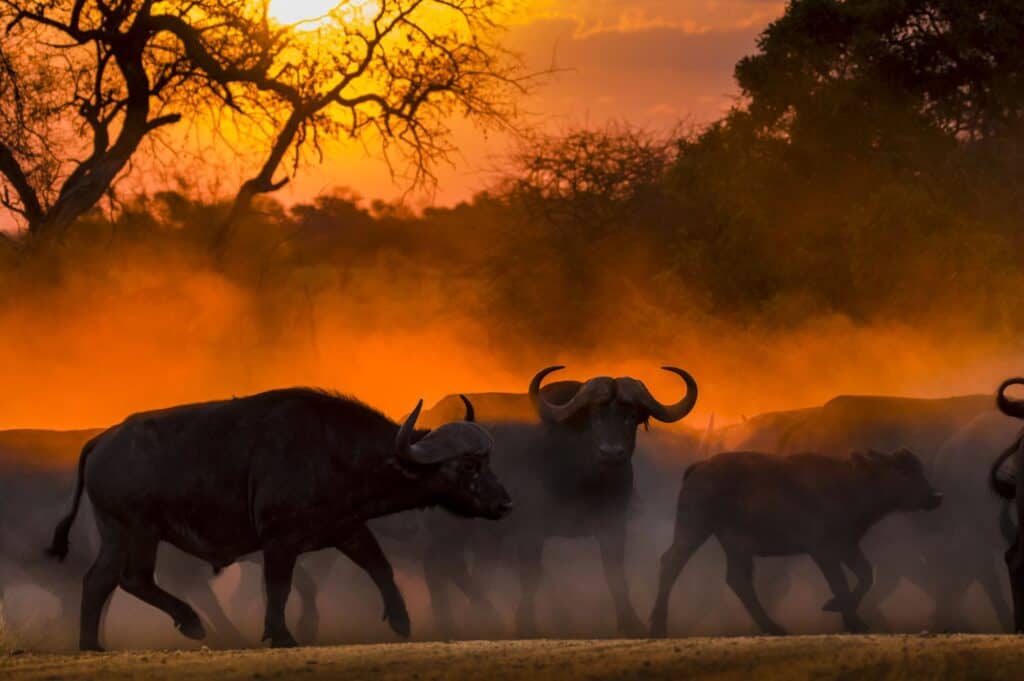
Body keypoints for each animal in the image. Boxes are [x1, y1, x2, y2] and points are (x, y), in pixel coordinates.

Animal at [46, 388, 512, 651]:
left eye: (488, 461)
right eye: (467, 467)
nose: (505, 504)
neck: (334, 450)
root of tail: (103, 440)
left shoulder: (346, 528)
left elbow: (380, 566)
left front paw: (401, 621)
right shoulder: (279, 541)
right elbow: (279, 587)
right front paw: (281, 635)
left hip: (125, 533)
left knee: (113, 580)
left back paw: (111, 640)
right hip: (133, 530)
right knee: (118, 579)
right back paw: (148, 632)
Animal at [650, 449, 943, 637]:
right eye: (902, 471)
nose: (935, 496)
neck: (850, 483)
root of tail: (700, 466)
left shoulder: (847, 546)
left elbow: (865, 574)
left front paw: (840, 611)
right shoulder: (823, 550)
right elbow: (840, 581)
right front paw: (850, 619)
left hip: (736, 545)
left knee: (738, 580)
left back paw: (774, 628)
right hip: (694, 529)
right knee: (671, 563)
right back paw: (657, 628)